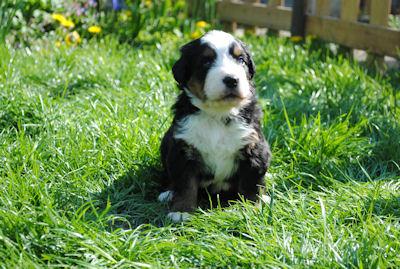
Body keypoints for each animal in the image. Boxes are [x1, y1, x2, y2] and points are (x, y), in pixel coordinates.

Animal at [158, 30, 270, 221]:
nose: (232, 80)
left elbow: (250, 183)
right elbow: (185, 184)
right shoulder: (183, 149)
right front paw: (181, 210)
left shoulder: (253, 147)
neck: (218, 115)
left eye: (241, 60)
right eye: (206, 61)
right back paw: (168, 193)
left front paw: (250, 207)